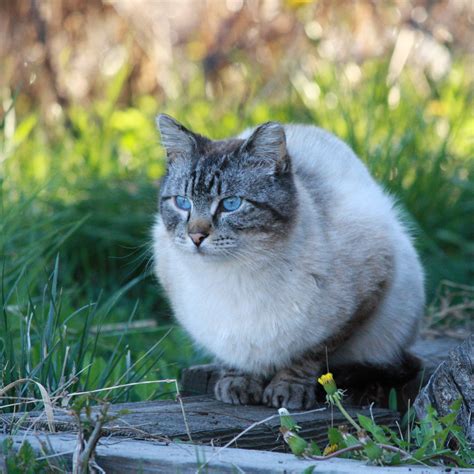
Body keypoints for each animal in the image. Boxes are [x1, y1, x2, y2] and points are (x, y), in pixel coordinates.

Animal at [153, 114, 426, 408]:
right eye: (183, 202)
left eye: (231, 204)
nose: (196, 236)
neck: (235, 273)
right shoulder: (222, 334)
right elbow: (235, 356)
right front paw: (238, 384)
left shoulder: (361, 301)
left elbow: (308, 357)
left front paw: (287, 391)